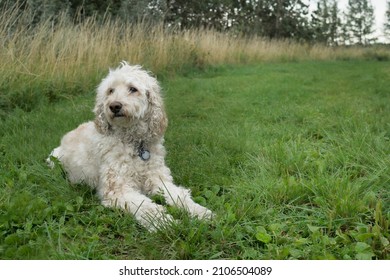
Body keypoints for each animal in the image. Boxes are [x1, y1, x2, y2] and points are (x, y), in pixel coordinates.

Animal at [49, 61, 215, 230]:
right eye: (110, 90)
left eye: (133, 89)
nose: (114, 106)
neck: (135, 143)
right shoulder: (118, 189)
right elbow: (147, 206)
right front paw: (165, 223)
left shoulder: (158, 178)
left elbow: (178, 195)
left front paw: (200, 212)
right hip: (53, 159)